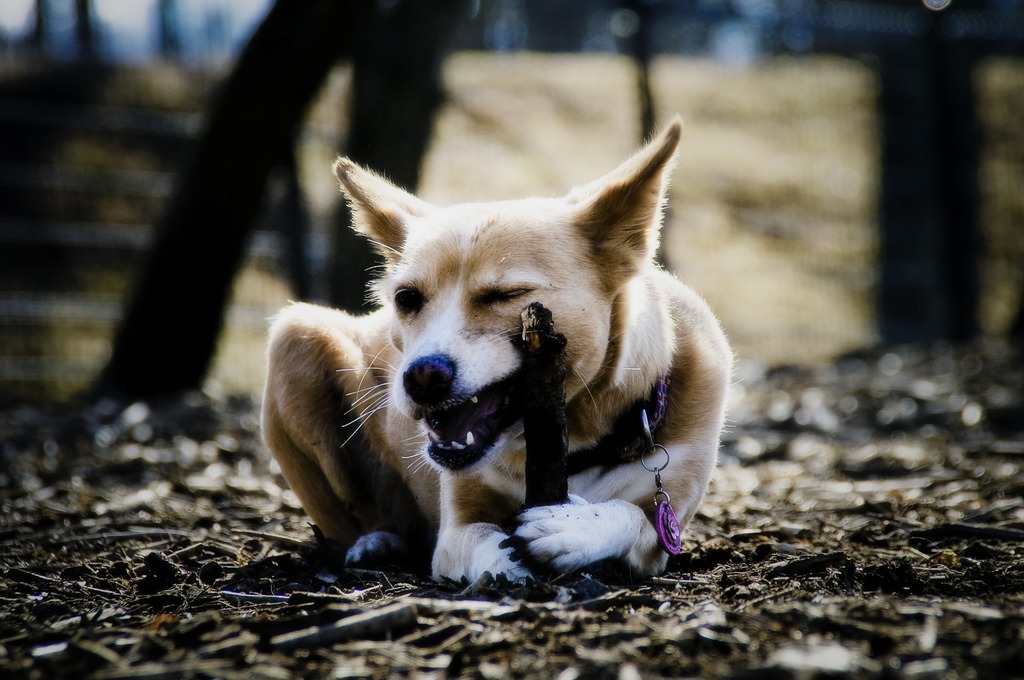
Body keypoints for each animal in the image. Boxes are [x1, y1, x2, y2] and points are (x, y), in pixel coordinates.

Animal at [260, 118, 733, 585]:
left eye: (505, 295)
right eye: (407, 298)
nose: (421, 377)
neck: (576, 446)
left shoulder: (663, 531)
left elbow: (631, 516)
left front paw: (576, 526)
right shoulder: (457, 528)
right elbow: (481, 539)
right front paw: (509, 563)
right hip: (295, 334)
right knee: (359, 520)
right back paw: (377, 543)